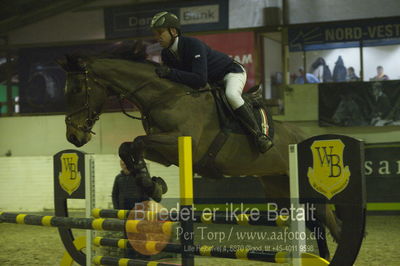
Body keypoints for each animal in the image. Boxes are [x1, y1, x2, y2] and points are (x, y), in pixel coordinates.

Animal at [59, 55, 340, 258]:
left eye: (76, 88)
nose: (73, 136)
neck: (164, 96)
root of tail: (307, 136)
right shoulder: (164, 152)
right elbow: (128, 147)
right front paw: (153, 184)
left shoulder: (180, 142)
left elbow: (136, 142)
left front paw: (153, 185)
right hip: (279, 189)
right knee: (315, 222)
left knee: (326, 221)